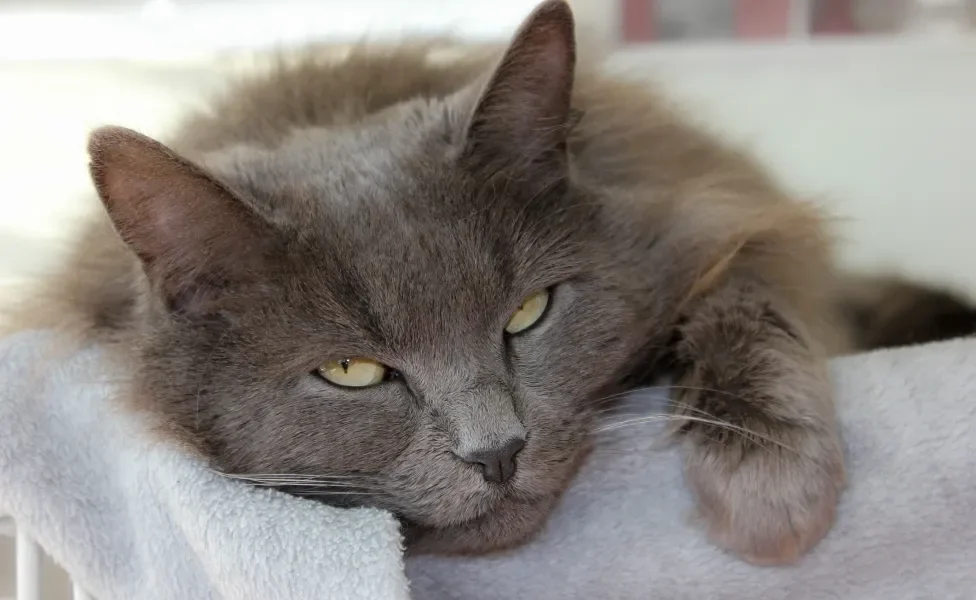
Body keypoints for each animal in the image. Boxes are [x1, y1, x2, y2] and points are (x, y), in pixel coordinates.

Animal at [7, 0, 976, 564]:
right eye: (351, 372)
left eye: (528, 314)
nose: (496, 452)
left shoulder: (713, 210)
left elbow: (751, 292)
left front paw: (767, 484)